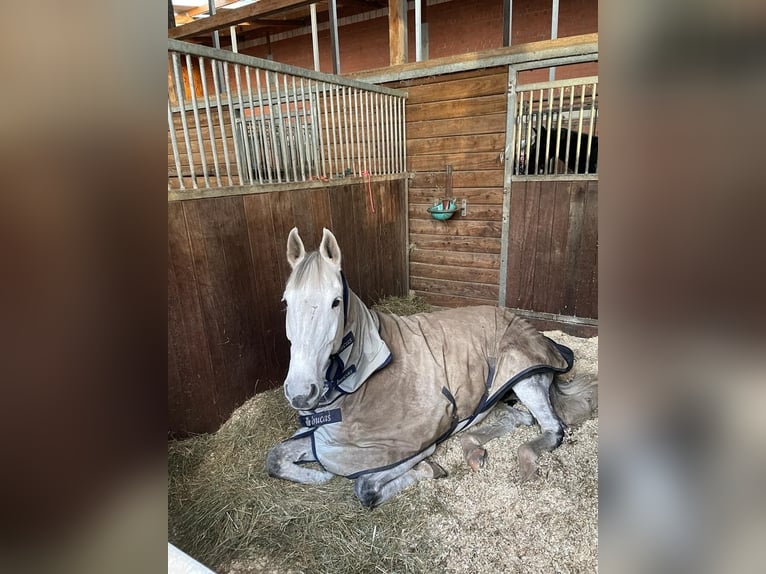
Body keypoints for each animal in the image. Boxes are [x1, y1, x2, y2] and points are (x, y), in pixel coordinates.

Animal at [270, 230, 600, 508]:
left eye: (336, 302)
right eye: (286, 301)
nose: (300, 392)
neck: (365, 374)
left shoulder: (407, 445)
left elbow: (366, 487)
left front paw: (428, 470)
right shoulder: (329, 441)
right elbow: (274, 457)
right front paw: (319, 476)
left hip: (523, 377)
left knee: (551, 428)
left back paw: (526, 466)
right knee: (518, 418)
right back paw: (474, 451)